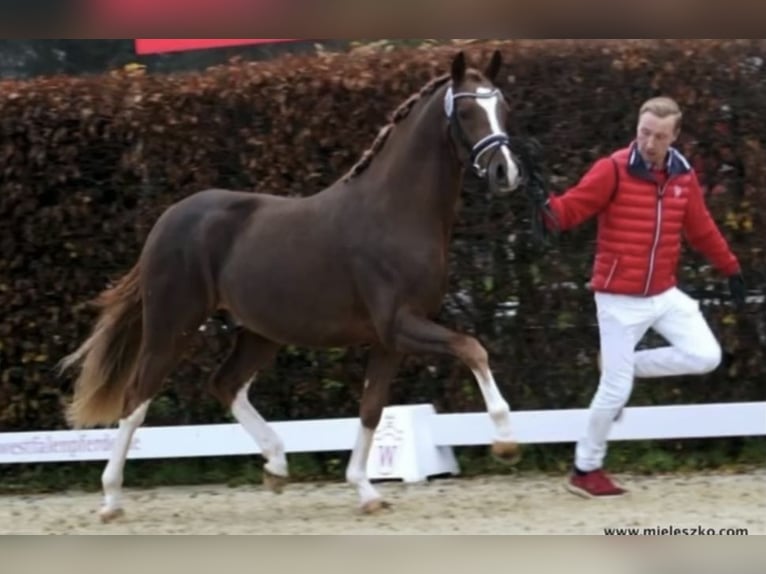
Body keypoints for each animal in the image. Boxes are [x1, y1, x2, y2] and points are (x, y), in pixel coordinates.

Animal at [61, 51, 552, 524]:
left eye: (502, 107)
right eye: (467, 110)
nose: (505, 172)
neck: (395, 212)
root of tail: (167, 221)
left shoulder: (389, 340)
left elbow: (372, 408)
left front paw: (366, 492)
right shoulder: (401, 325)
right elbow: (473, 348)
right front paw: (506, 442)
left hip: (260, 332)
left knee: (225, 383)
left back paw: (276, 467)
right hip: (172, 325)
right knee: (136, 398)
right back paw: (111, 500)